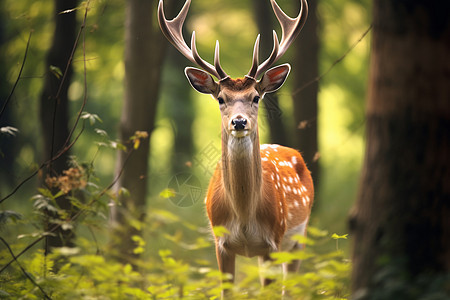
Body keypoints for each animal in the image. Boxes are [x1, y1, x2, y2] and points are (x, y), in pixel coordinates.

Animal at [158, 0, 312, 292]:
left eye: (255, 97)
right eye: (220, 98)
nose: (239, 122)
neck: (243, 219)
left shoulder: (273, 242)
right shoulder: (221, 243)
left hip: (298, 239)